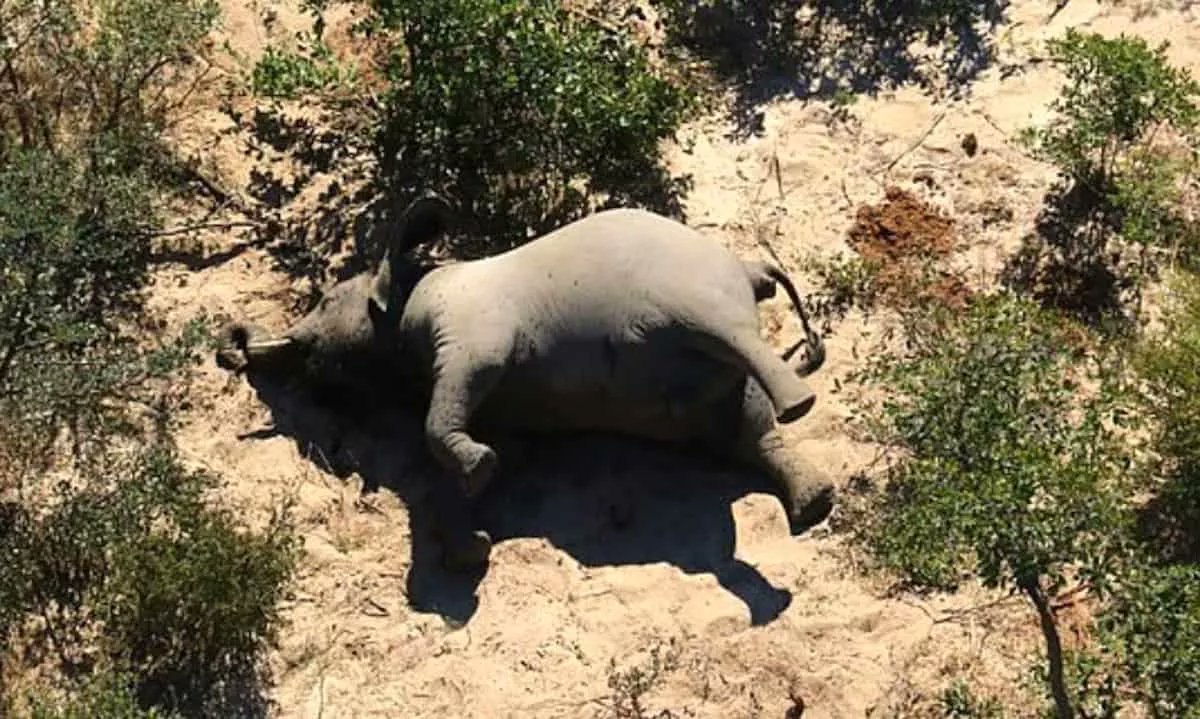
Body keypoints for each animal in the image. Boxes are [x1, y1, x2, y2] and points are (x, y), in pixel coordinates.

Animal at [216, 196, 835, 568]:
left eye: (324, 301)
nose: (230, 349)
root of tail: (749, 270)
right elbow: (495, 453)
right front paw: (473, 540)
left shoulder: (471, 330)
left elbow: (445, 411)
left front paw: (477, 475)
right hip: (709, 388)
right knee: (746, 431)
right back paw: (815, 505)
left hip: (696, 293)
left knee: (731, 340)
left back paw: (800, 407)